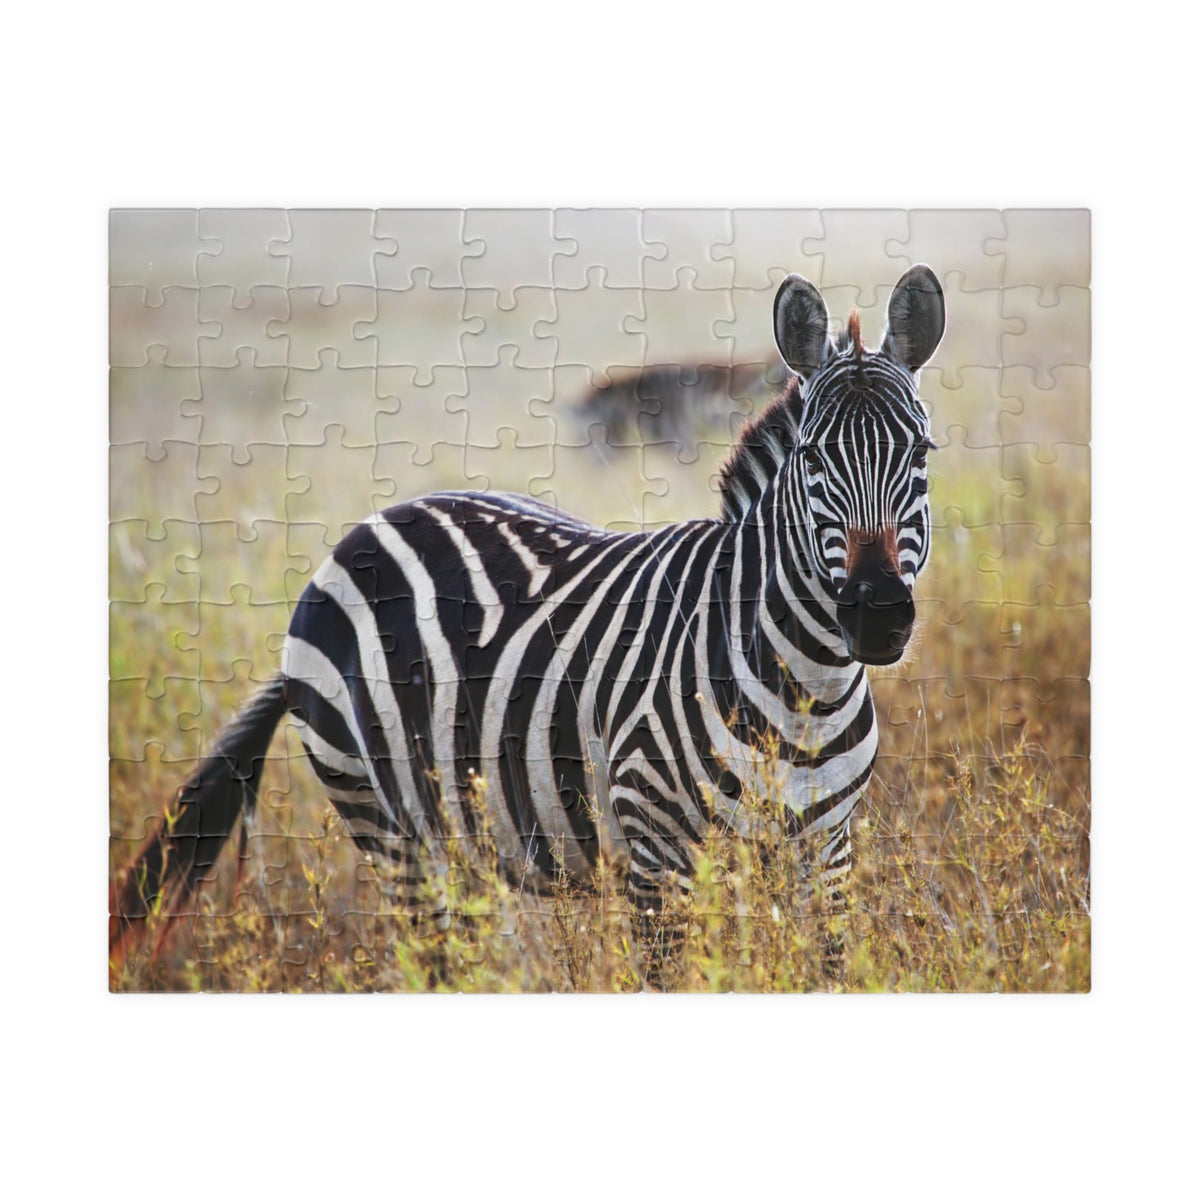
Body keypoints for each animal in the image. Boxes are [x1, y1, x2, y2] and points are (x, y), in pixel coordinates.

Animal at [110, 264, 946, 981]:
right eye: (811, 458)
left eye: (922, 451)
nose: (875, 615)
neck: (806, 685)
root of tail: (369, 525)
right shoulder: (656, 852)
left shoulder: (828, 852)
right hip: (387, 826)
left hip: (464, 837)